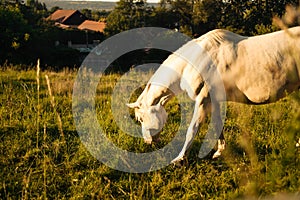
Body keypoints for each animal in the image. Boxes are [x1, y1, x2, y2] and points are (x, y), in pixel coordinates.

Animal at [126, 26, 300, 164]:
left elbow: (192, 129)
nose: (148, 142)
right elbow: (218, 125)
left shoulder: (203, 100)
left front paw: (179, 159)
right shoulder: (215, 101)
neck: (195, 61)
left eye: (140, 118)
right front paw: (219, 152)